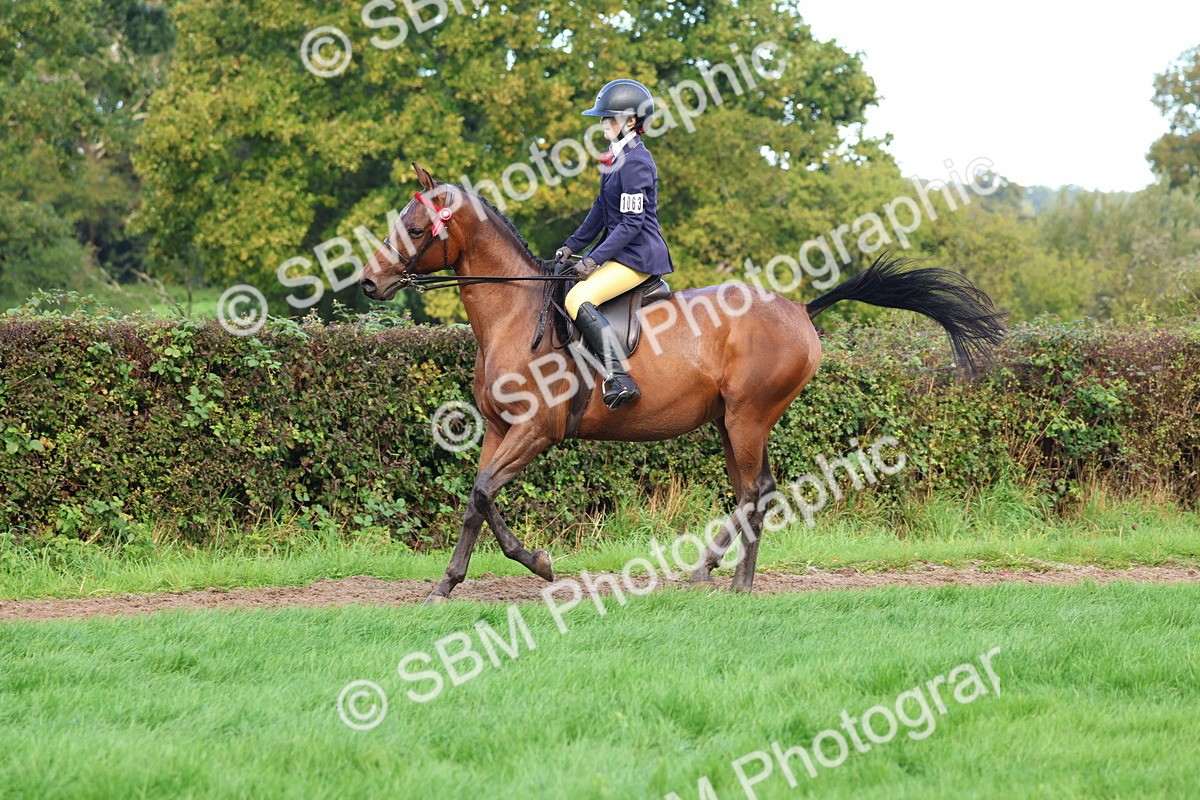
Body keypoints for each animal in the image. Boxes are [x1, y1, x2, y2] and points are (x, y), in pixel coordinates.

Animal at [361, 163, 1007, 603]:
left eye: (414, 227)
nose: (368, 283)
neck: (515, 316)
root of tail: (800, 309)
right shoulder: (501, 430)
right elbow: (481, 499)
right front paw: (482, 574)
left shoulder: (536, 431)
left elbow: (480, 493)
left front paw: (502, 571)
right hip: (729, 420)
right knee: (755, 490)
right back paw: (710, 570)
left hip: (748, 417)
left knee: (755, 492)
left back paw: (737, 582)